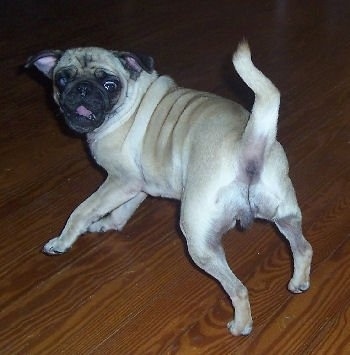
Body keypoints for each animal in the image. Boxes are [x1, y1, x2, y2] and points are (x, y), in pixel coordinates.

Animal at [26, 41, 314, 336]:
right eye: (62, 79)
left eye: (109, 84)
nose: (82, 89)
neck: (130, 100)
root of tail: (247, 145)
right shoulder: (137, 186)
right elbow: (120, 212)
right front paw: (107, 224)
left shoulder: (120, 181)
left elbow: (82, 210)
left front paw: (63, 241)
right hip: (285, 216)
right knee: (303, 247)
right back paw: (298, 282)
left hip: (198, 240)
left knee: (238, 288)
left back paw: (241, 325)